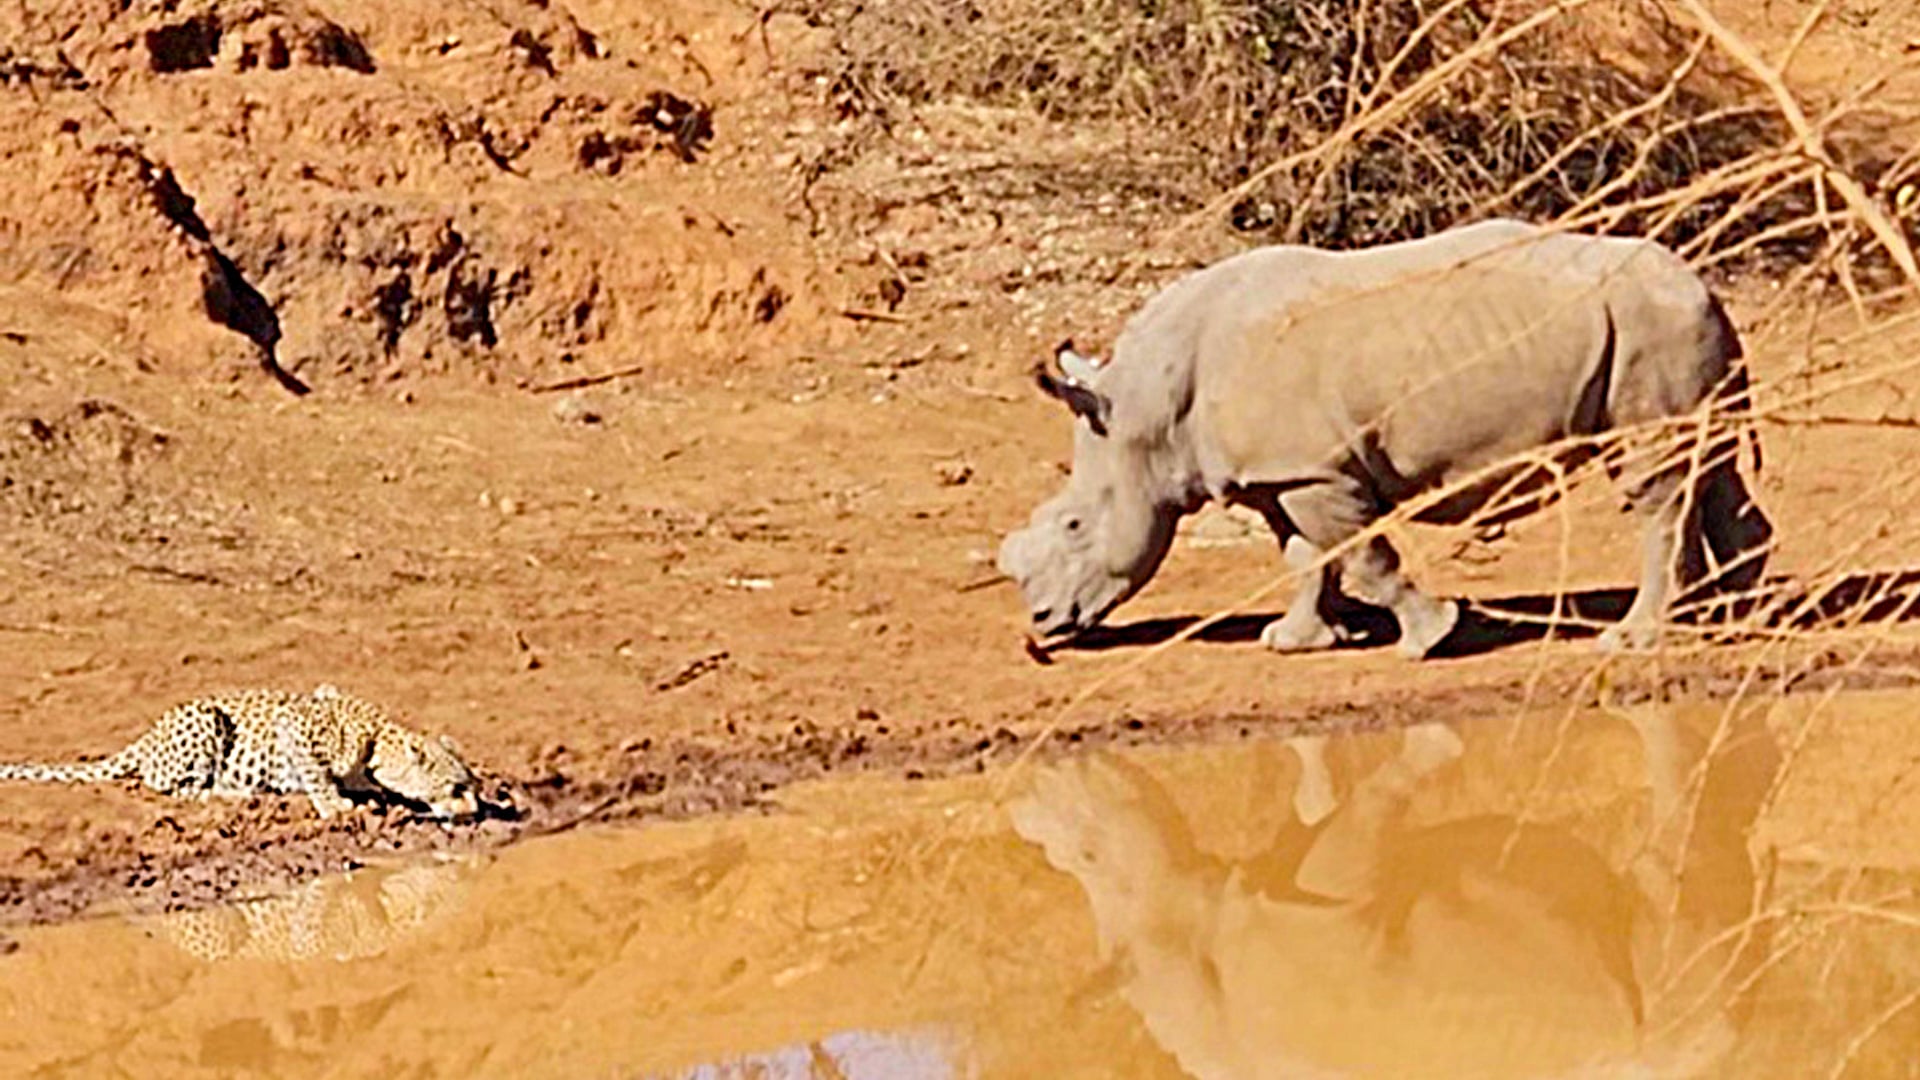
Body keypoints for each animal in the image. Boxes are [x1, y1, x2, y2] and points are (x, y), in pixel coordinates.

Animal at [0, 684, 480, 819]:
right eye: (456, 788)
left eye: (472, 785)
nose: (476, 810)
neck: (380, 739)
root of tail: (148, 735)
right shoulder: (295, 727)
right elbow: (317, 774)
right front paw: (336, 807)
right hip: (207, 717)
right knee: (173, 787)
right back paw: (234, 793)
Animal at [998, 219, 1769, 658]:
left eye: (1073, 524)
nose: (1042, 622)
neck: (1144, 412)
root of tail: (1698, 279)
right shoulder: (1283, 473)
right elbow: (1306, 558)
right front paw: (1296, 643)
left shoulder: (1314, 471)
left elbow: (1365, 556)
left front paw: (1432, 638)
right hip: (1667, 326)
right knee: (1707, 469)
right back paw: (1733, 617)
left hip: (1647, 326)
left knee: (1654, 479)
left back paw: (1635, 639)